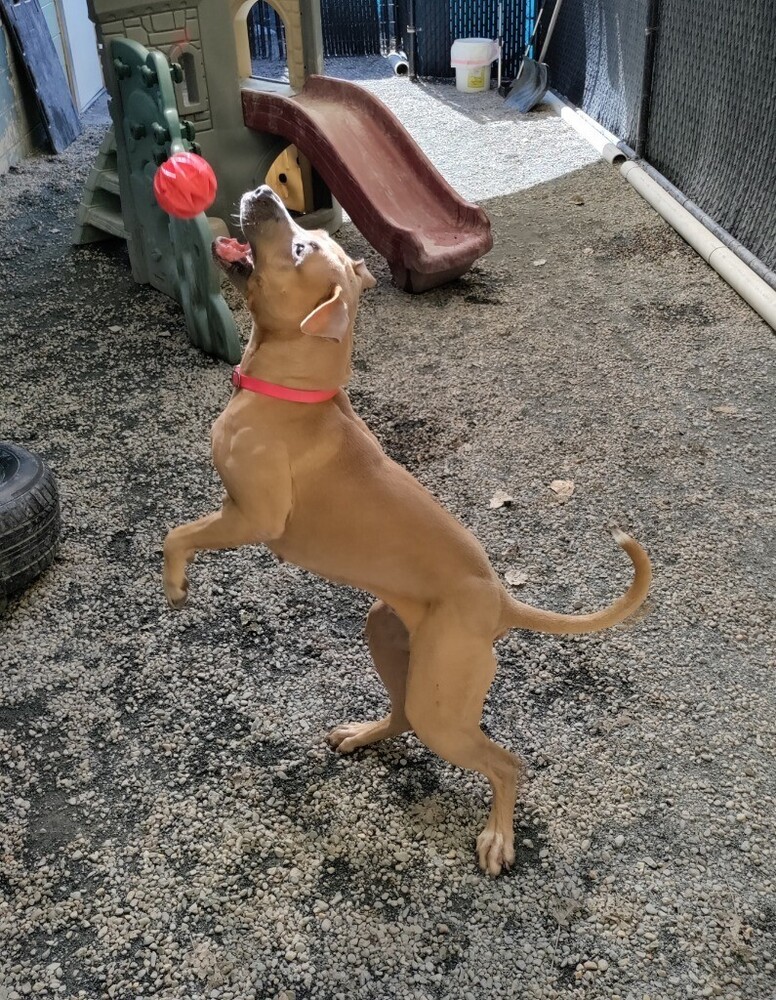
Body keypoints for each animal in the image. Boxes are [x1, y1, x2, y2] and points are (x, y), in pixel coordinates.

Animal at [167, 188, 652, 876]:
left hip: (440, 705)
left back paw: (498, 838)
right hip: (389, 638)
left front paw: (175, 586)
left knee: (506, 763)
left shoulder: (253, 518)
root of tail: (500, 601)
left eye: (298, 247)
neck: (294, 391)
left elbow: (178, 533)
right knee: (400, 718)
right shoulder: (236, 510)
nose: (262, 193)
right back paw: (363, 734)